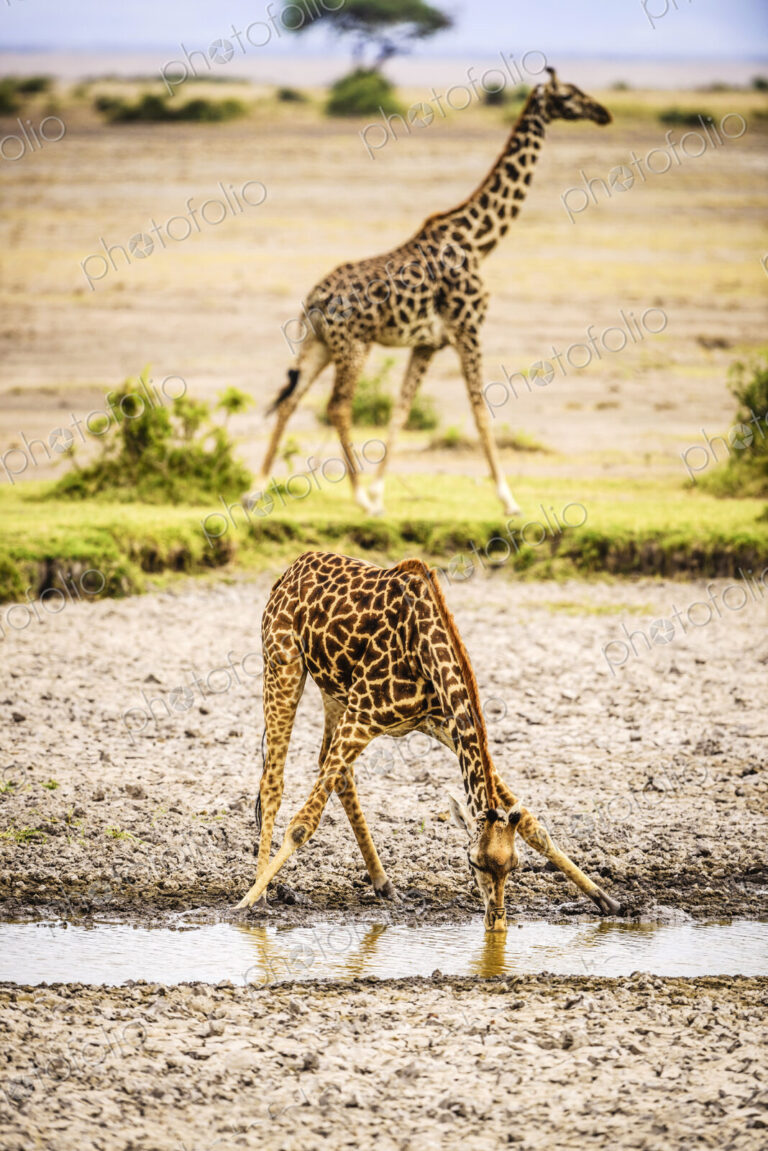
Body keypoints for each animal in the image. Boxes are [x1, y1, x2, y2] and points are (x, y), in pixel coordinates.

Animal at [237, 550, 621, 930]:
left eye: (515, 865)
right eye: (474, 862)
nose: (496, 923)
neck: (423, 651)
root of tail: (291, 570)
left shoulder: (444, 726)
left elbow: (531, 824)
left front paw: (605, 899)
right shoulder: (363, 715)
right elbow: (303, 824)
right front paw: (245, 902)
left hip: (333, 691)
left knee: (337, 774)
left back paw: (385, 884)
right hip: (283, 664)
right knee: (273, 781)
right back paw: (264, 893)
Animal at [256, 68, 612, 517]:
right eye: (568, 95)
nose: (604, 114)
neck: (478, 241)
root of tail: (313, 301)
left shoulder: (427, 343)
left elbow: (401, 410)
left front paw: (380, 491)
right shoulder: (469, 330)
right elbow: (480, 410)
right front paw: (509, 499)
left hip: (318, 344)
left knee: (290, 400)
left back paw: (256, 489)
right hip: (354, 346)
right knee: (337, 406)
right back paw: (357, 498)